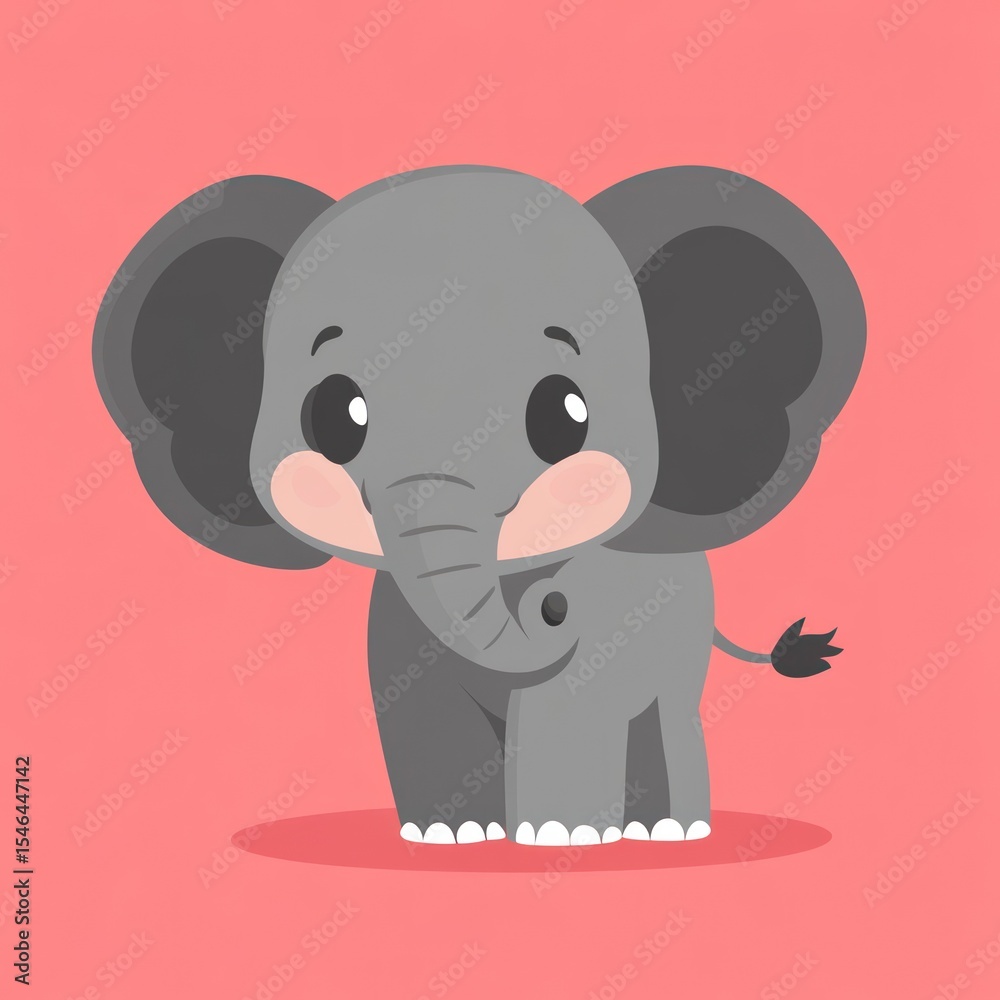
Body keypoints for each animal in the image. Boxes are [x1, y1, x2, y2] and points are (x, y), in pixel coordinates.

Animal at [92, 165, 865, 847]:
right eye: (333, 417)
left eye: (562, 416)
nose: (554, 608)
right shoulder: (398, 625)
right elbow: (417, 705)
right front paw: (450, 836)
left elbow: (568, 707)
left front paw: (560, 839)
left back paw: (666, 833)